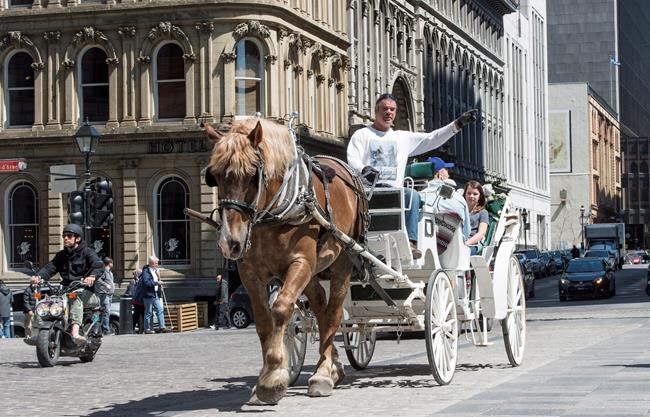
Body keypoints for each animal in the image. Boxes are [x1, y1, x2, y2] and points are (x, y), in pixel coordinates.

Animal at [203, 117, 368, 404]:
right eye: (215, 175)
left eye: (253, 175)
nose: (230, 242)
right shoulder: (249, 273)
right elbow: (264, 321)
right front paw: (268, 376)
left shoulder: (300, 263)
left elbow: (281, 309)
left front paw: (272, 380)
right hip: (313, 273)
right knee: (321, 308)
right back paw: (332, 366)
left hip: (341, 264)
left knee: (334, 313)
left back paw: (323, 374)